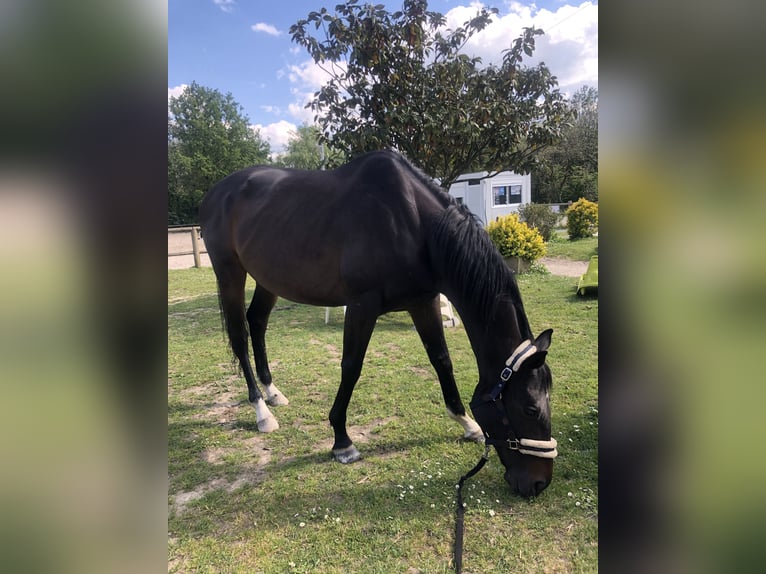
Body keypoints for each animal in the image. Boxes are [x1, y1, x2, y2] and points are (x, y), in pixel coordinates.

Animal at [198, 151, 560, 498]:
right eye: (529, 409)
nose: (539, 484)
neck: (415, 224)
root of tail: (216, 192)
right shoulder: (362, 305)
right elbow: (351, 367)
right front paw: (342, 441)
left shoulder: (423, 302)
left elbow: (441, 360)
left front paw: (466, 423)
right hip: (230, 273)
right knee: (240, 335)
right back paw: (262, 411)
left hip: (268, 279)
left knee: (257, 323)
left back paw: (273, 392)